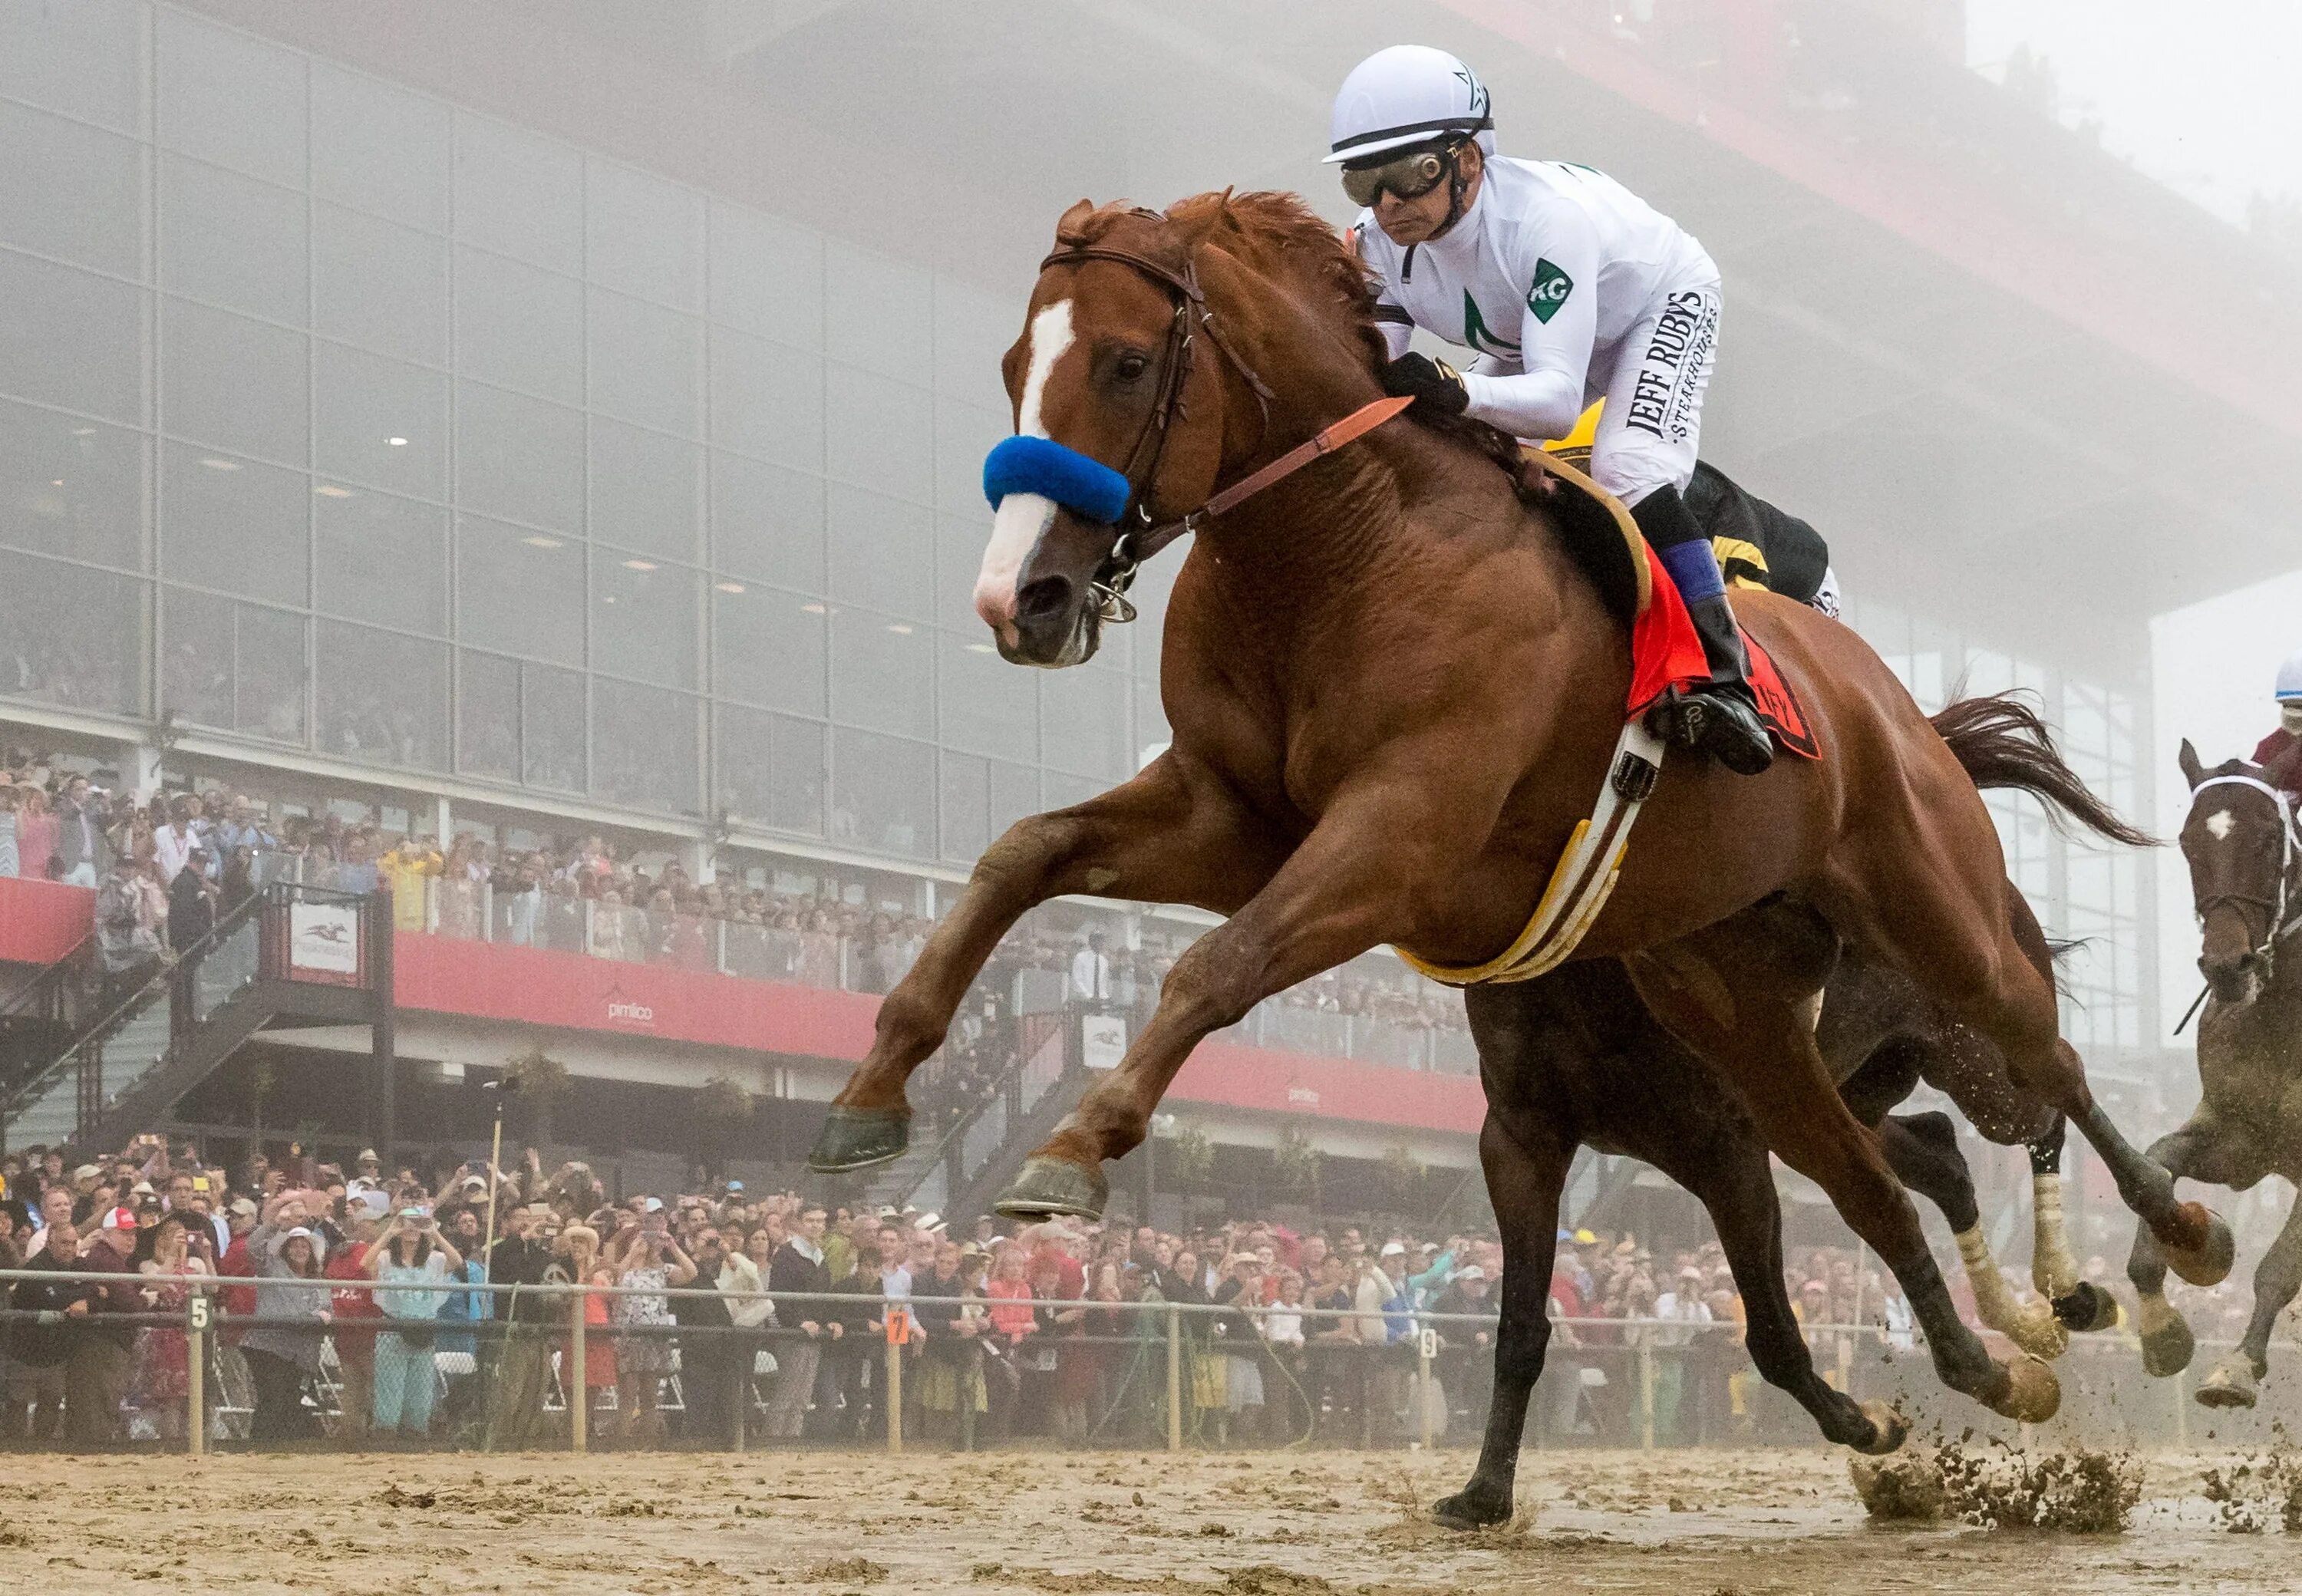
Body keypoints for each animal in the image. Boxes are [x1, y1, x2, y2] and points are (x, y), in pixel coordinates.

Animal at [815, 186, 2228, 1446]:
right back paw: (2019, 1348)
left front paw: (1075, 1144)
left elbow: (1215, 966)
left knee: (2047, 1067)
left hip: (1936, 918)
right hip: (1744, 1018)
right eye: (1014, 363)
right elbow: (1024, 854)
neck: (1343, 553)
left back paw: (2167, 1251)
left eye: (1120, 362)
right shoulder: (1236, 815)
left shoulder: (1402, 836)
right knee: (1879, 1169)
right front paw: (873, 1091)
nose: (1022, 599)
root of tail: (1897, 702)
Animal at [2118, 746, 2302, 1409]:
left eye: (2270, 838)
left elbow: (2278, 1267)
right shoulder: (2242, 1143)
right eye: (2189, 841)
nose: (2227, 965)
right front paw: (2160, 1329)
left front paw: (2238, 1366)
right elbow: (2154, 1167)